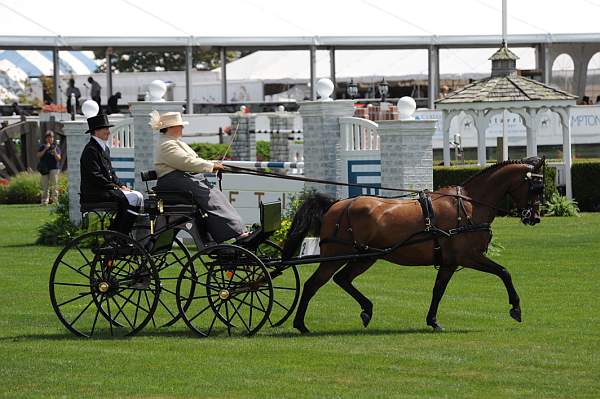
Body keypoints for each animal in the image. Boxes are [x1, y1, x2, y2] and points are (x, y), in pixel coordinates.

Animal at [284, 157, 548, 334]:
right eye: (536, 188)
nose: (534, 218)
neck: (469, 205)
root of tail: (335, 205)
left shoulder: (449, 263)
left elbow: (438, 290)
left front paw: (432, 320)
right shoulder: (469, 257)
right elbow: (504, 272)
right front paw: (516, 308)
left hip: (366, 257)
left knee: (342, 279)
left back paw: (366, 309)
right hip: (338, 256)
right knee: (312, 284)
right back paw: (301, 324)